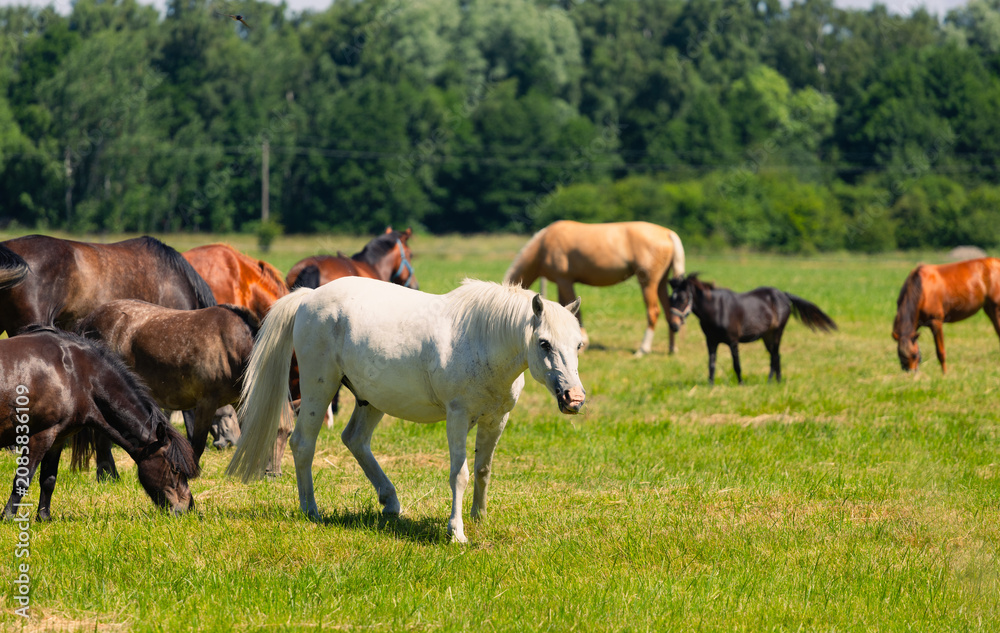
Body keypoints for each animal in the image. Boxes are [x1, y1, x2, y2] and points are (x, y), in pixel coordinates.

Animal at [1, 327, 198, 520]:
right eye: (175, 469)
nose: (188, 509)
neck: (74, 374)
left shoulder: (57, 439)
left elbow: (48, 480)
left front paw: (44, 517)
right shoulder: (40, 436)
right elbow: (23, 479)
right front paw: (8, 517)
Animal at [76, 301, 260, 473]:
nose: (230, 442)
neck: (230, 344)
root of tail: (86, 320)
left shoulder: (240, 403)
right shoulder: (206, 403)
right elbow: (197, 446)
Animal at [227, 278, 586, 543]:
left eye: (578, 344)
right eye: (543, 343)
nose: (574, 398)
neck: (483, 341)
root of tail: (308, 297)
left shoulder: (496, 421)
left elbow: (483, 470)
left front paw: (479, 517)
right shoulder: (458, 418)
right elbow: (460, 474)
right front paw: (457, 532)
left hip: (370, 400)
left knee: (355, 440)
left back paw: (390, 501)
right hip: (320, 388)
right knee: (303, 443)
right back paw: (311, 509)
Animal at [504, 220, 686, 357]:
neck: (544, 244)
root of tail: (667, 233)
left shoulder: (564, 281)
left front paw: (583, 344)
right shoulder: (561, 283)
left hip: (648, 282)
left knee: (653, 312)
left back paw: (642, 350)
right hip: (661, 282)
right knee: (669, 312)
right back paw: (672, 349)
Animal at [668, 274, 837, 384]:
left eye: (683, 298)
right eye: (671, 298)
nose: (673, 325)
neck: (716, 310)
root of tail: (783, 295)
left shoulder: (733, 341)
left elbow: (736, 364)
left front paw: (741, 383)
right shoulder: (711, 341)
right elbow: (711, 364)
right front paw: (710, 385)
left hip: (777, 333)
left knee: (775, 356)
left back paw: (774, 382)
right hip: (766, 336)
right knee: (775, 356)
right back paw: (774, 381)